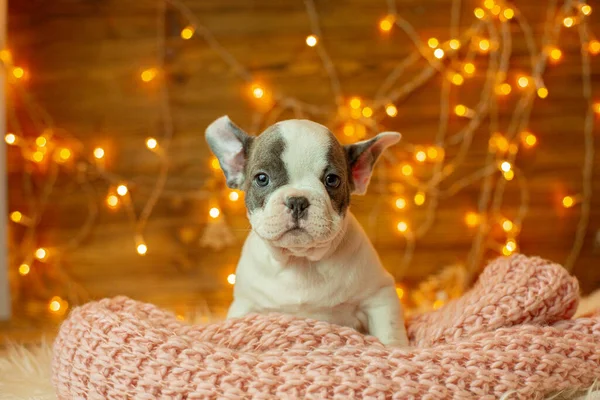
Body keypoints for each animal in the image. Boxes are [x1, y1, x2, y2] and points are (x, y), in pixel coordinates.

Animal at [205, 115, 408, 346]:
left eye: (332, 180)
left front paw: (397, 350)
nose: (297, 201)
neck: (300, 260)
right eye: (262, 178)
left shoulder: (379, 295)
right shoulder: (245, 304)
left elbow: (389, 333)